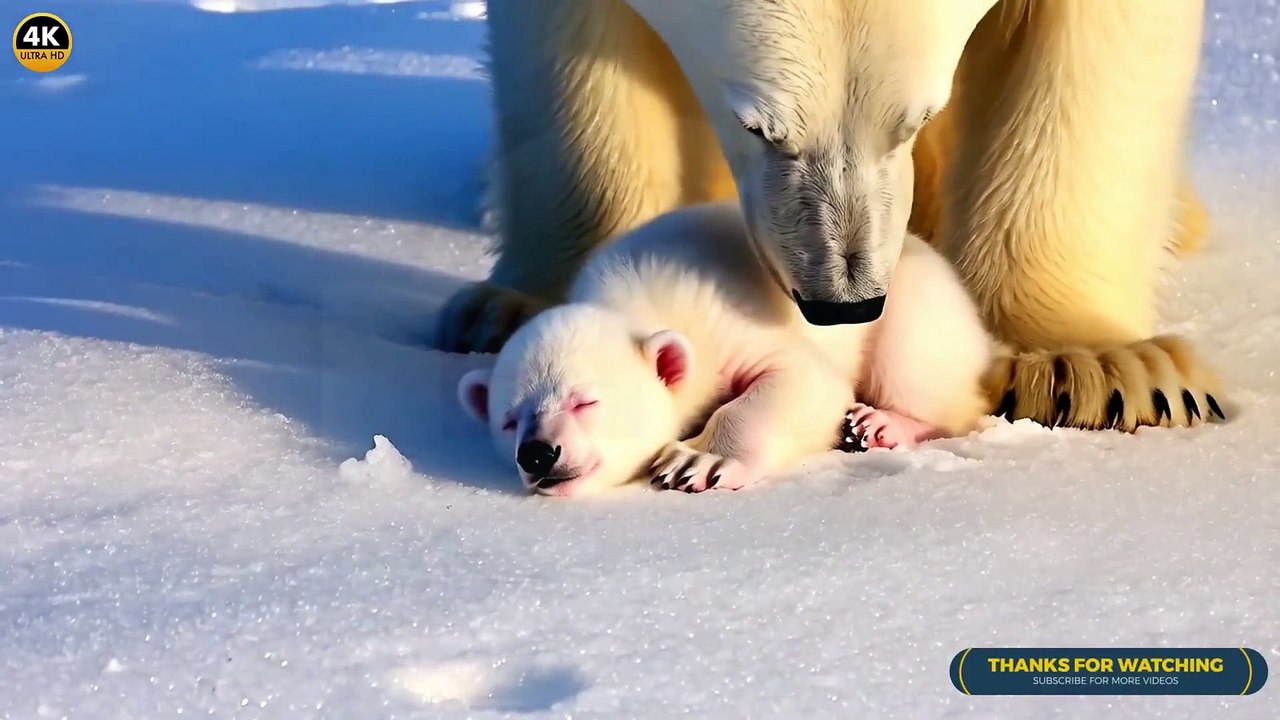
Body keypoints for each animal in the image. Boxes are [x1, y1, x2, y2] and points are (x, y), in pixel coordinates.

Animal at [456, 201, 992, 497]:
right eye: (509, 420)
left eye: (585, 402)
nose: (538, 454)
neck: (638, 298)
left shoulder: (725, 319)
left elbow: (804, 379)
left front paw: (695, 462)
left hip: (914, 304)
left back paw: (880, 423)